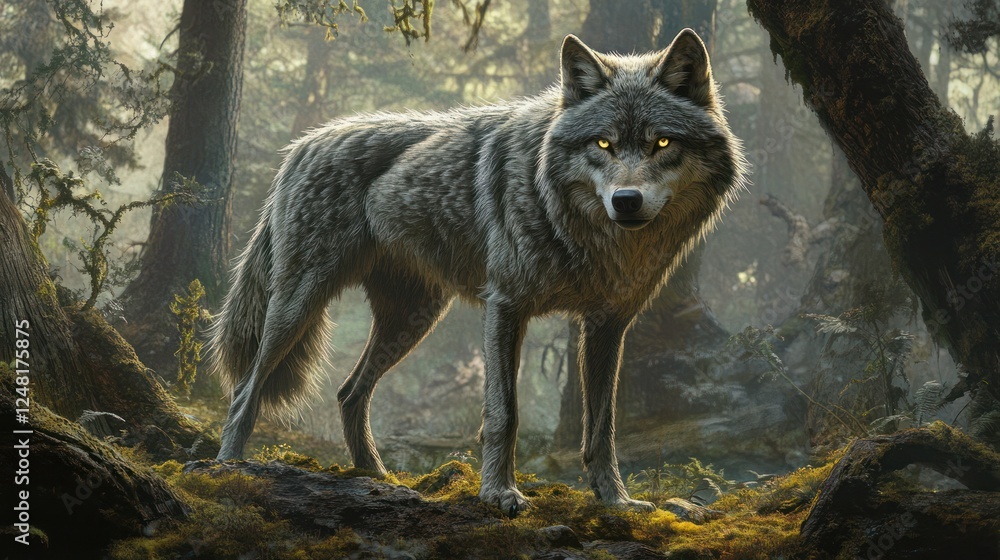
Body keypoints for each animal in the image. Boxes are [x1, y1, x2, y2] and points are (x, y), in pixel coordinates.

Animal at [212, 28, 747, 515]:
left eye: (662, 142)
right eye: (603, 143)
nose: (626, 201)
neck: (584, 233)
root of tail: (302, 145)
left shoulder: (606, 325)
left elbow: (602, 427)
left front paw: (616, 500)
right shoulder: (506, 306)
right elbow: (503, 413)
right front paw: (499, 493)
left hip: (412, 320)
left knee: (347, 393)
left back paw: (377, 475)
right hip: (299, 305)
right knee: (244, 390)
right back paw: (228, 468)